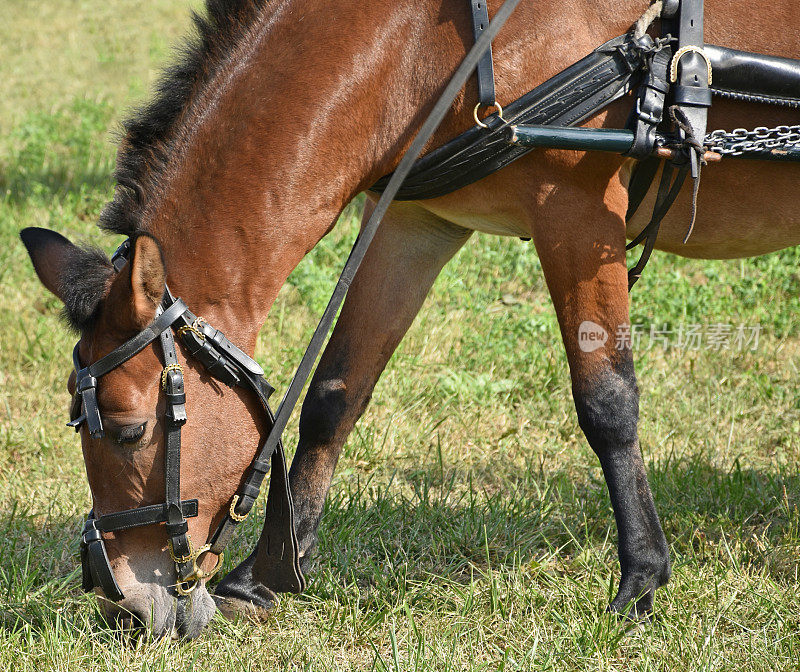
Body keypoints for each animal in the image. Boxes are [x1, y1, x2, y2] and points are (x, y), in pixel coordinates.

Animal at [18, 0, 800, 640]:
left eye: (129, 429)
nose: (120, 602)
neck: (431, 37)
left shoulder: (577, 211)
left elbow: (607, 401)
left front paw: (639, 580)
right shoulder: (411, 220)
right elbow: (336, 394)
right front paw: (265, 575)